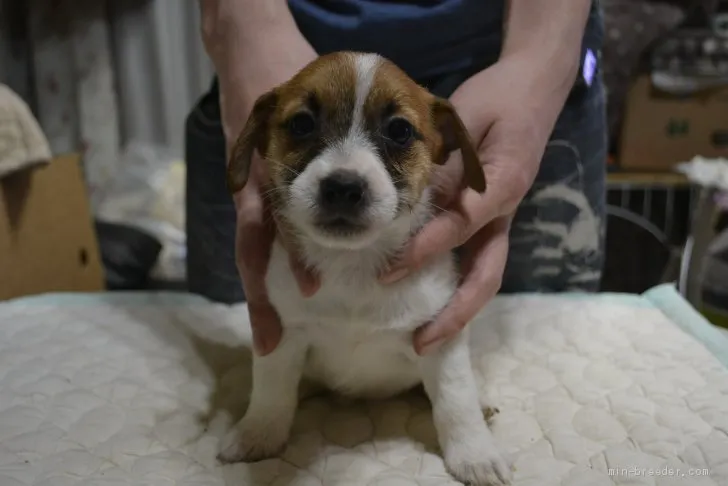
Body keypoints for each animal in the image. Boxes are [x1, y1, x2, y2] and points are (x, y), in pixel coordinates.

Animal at [219, 53, 510, 486]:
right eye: (301, 123)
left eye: (400, 131)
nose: (342, 187)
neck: (352, 265)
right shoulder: (283, 334)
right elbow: (272, 390)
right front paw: (258, 433)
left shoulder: (439, 337)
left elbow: (456, 399)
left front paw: (476, 454)